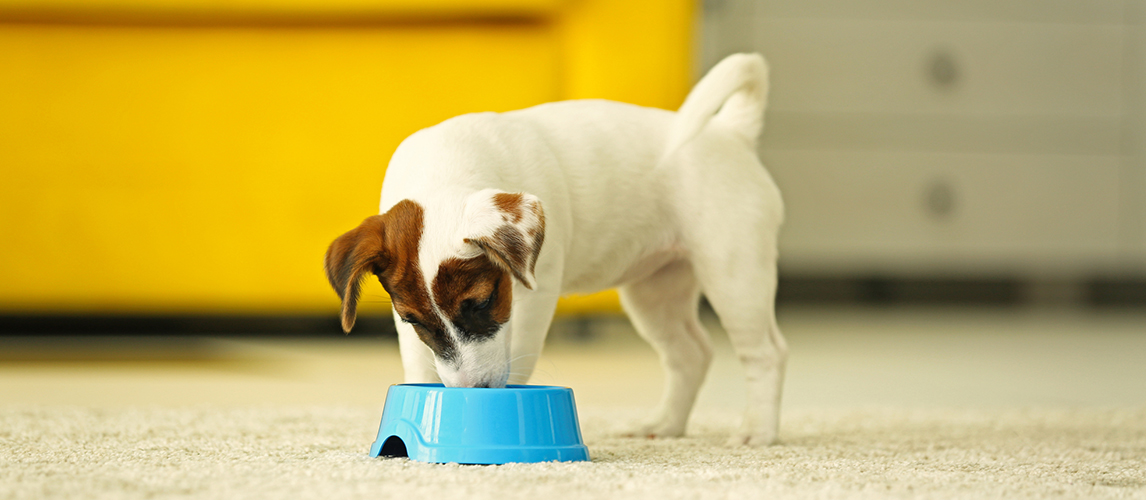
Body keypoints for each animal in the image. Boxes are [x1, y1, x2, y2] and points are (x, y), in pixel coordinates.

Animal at [323, 53, 788, 444]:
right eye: (412, 319)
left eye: (484, 301)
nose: (476, 390)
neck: (444, 173)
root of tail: (733, 133)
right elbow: (419, 362)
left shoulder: (533, 295)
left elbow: (519, 355)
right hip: (655, 292)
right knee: (690, 354)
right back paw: (665, 424)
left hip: (734, 274)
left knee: (766, 354)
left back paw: (757, 432)